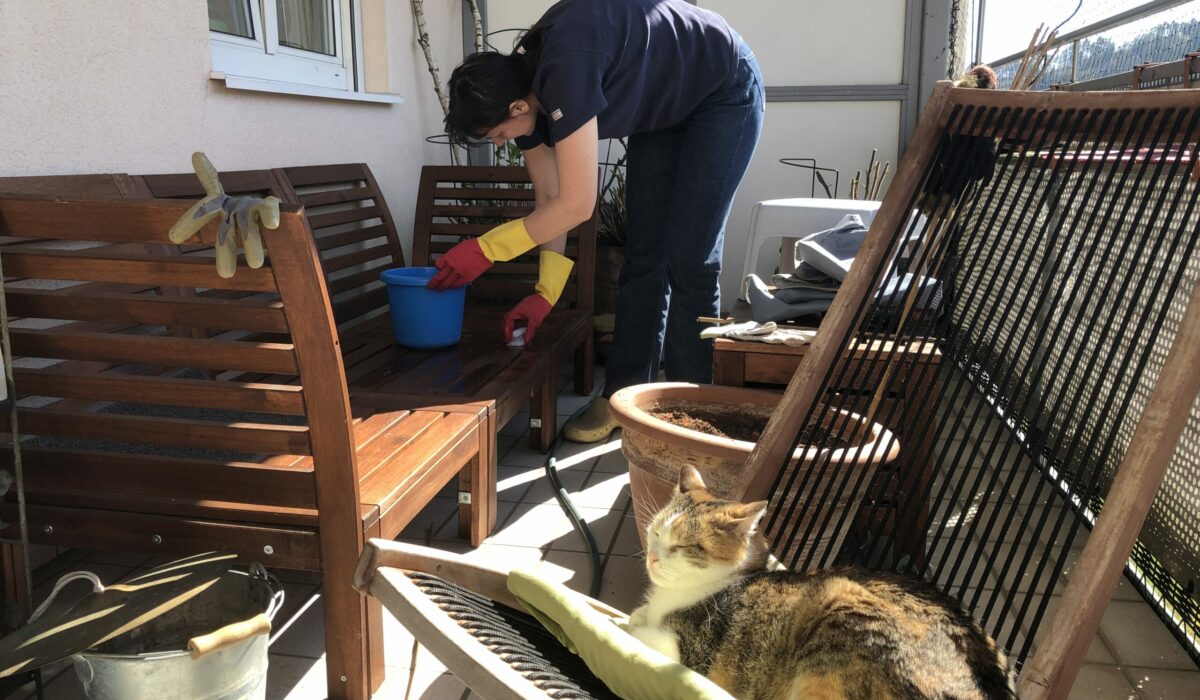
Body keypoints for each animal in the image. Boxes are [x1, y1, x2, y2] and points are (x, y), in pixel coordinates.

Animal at [628, 465, 1012, 700]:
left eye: (682, 546)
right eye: (655, 532)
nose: (652, 557)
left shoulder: (688, 650)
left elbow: (643, 632)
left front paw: (631, 625)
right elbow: (639, 615)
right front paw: (638, 613)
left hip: (838, 599)